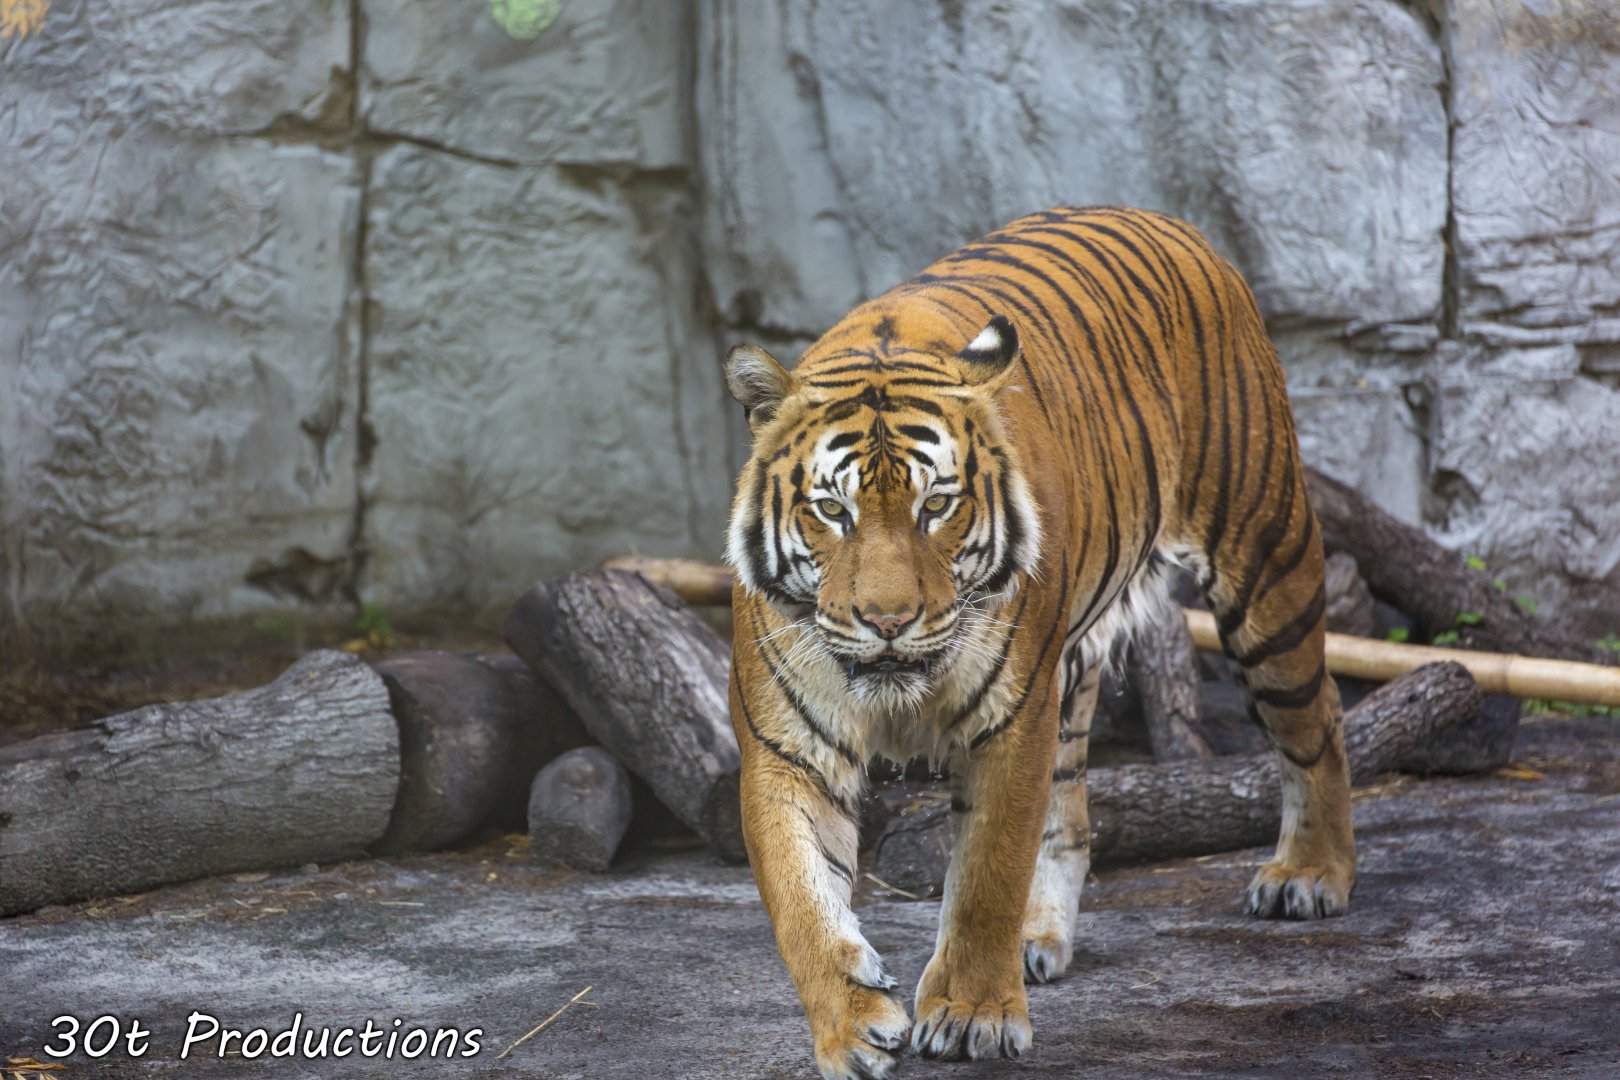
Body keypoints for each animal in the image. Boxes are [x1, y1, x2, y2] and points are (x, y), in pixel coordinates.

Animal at [722, 206, 1355, 1079]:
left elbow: (988, 871)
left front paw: (971, 1017)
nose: (888, 620)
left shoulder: (1010, 722)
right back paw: (1040, 937)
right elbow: (801, 898)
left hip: (1264, 559)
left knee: (1316, 714)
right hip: (1077, 660)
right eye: (833, 510)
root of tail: (1170, 221)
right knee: (1071, 815)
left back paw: (1311, 874)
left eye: (936, 505)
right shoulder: (788, 747)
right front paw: (852, 1029)